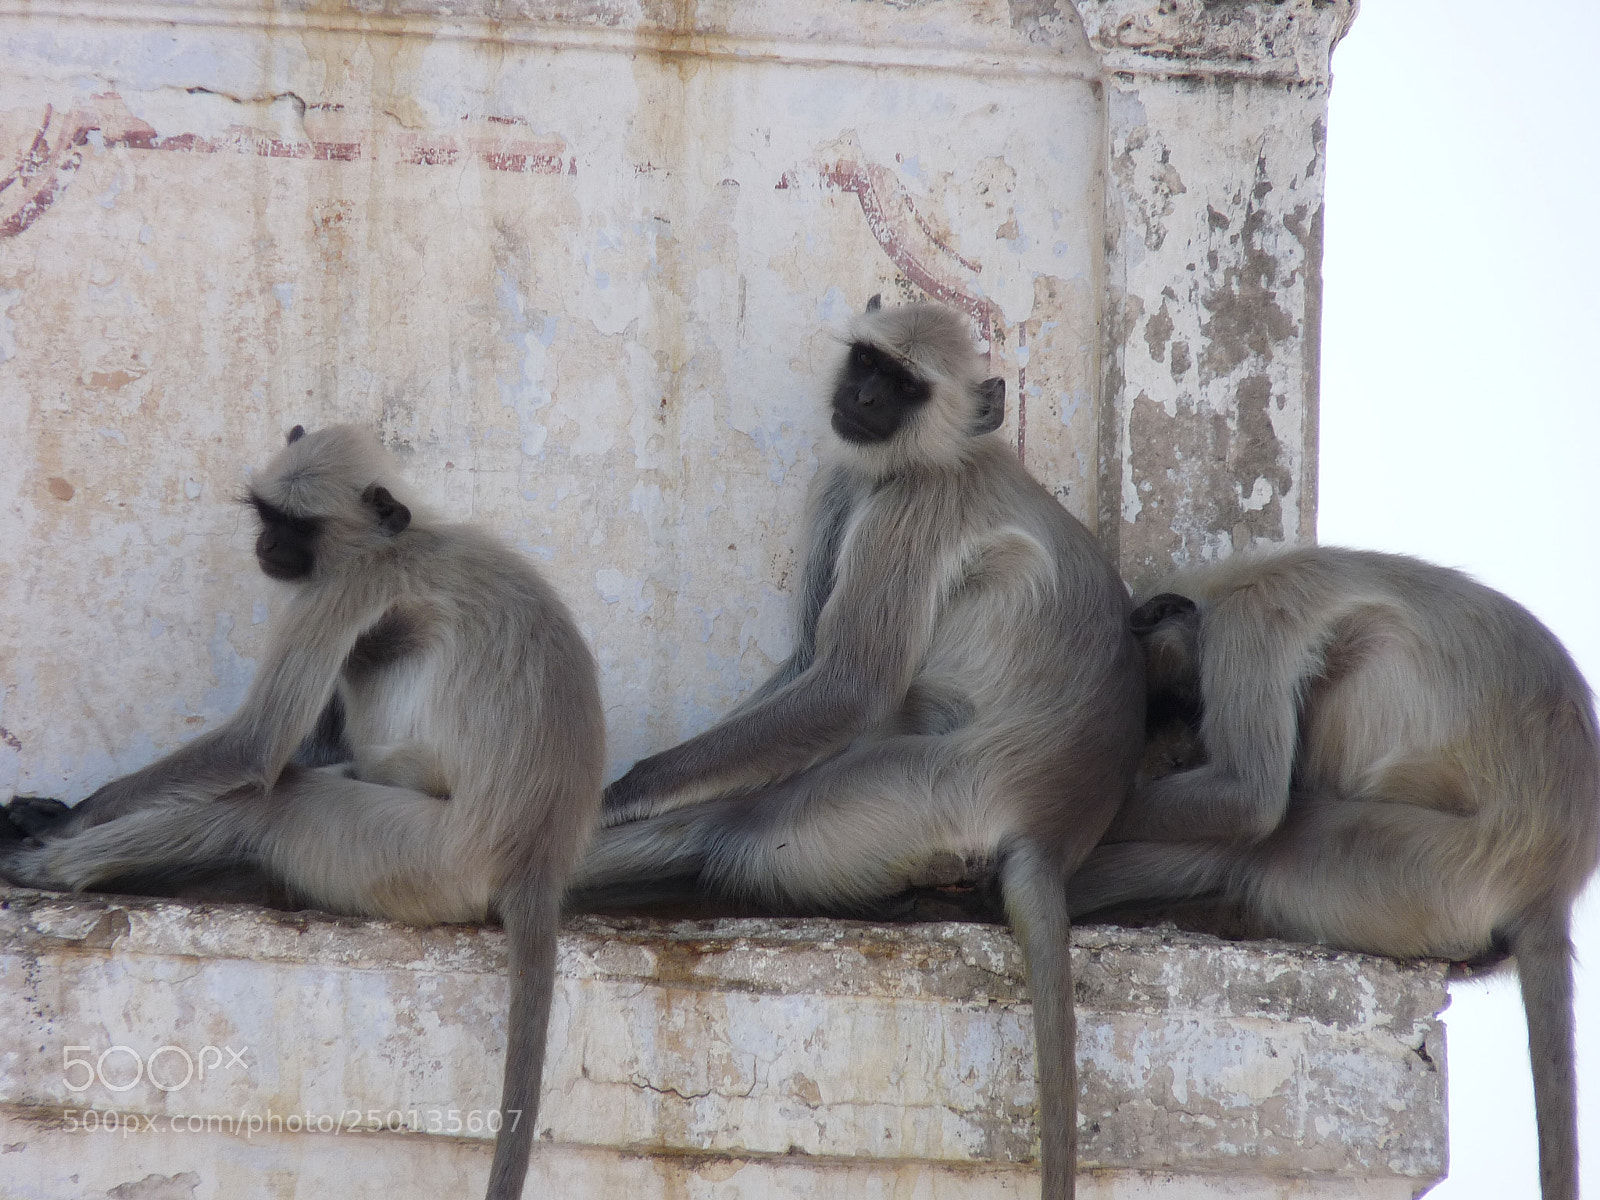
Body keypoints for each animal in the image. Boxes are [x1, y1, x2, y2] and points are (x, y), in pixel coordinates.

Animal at [0, 425, 604, 1200]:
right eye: (266, 515)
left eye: (296, 527)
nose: (265, 546)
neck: (401, 540)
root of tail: (539, 858)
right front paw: (39, 812)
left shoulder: (342, 586)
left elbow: (258, 748)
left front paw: (52, 828)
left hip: (420, 857)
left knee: (277, 803)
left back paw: (55, 871)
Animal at [574, 298, 1146, 1200]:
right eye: (869, 365)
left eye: (907, 387)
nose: (867, 400)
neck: (933, 456)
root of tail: (1055, 827)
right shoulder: (845, 481)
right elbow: (811, 660)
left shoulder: (911, 508)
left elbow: (847, 686)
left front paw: (616, 794)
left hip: (924, 794)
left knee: (740, 835)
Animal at [1066, 546, 1600, 1200]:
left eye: (1181, 700)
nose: (1184, 737)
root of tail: (1550, 883)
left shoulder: (1253, 620)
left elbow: (1248, 799)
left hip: (1426, 870)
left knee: (1262, 842)